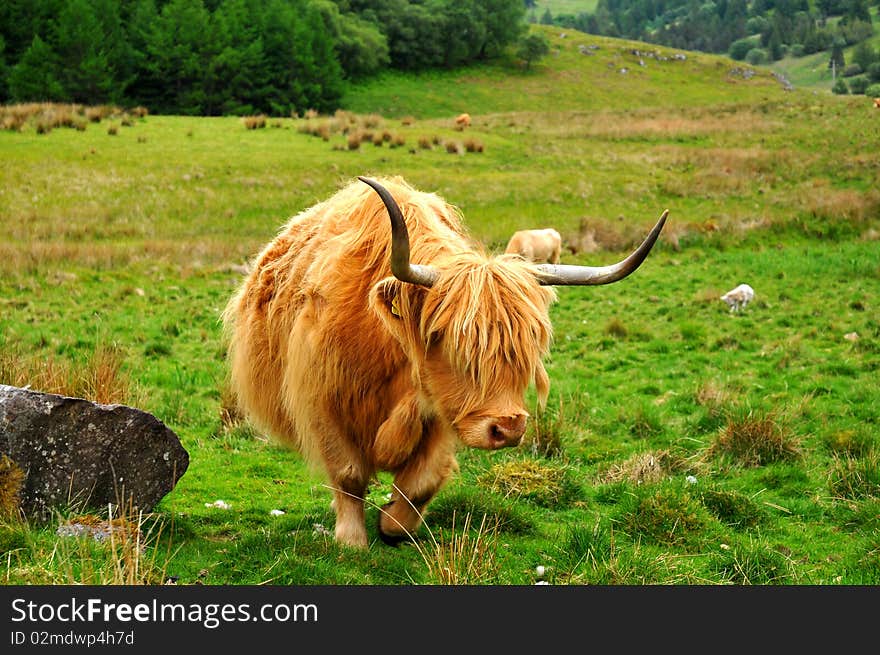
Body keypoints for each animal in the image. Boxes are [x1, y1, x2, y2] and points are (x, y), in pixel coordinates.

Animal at [222, 174, 668, 548]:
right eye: (451, 342)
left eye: (526, 348)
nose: (508, 428)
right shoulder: (322, 400)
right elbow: (348, 473)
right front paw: (352, 542)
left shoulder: (442, 411)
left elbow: (423, 481)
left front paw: (392, 524)